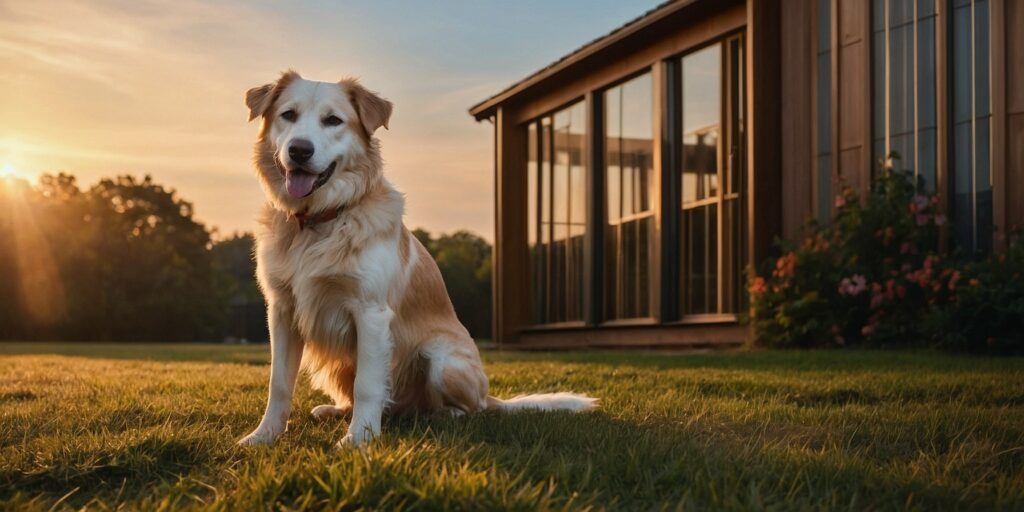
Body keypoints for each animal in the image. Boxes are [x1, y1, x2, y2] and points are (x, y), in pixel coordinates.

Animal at [236, 72, 598, 448]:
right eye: (288, 115)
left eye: (333, 120)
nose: (299, 150)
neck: (320, 222)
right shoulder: (282, 311)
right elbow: (279, 383)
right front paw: (264, 436)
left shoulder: (371, 312)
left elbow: (368, 385)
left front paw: (359, 440)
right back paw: (337, 411)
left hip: (441, 357)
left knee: (469, 408)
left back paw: (443, 415)